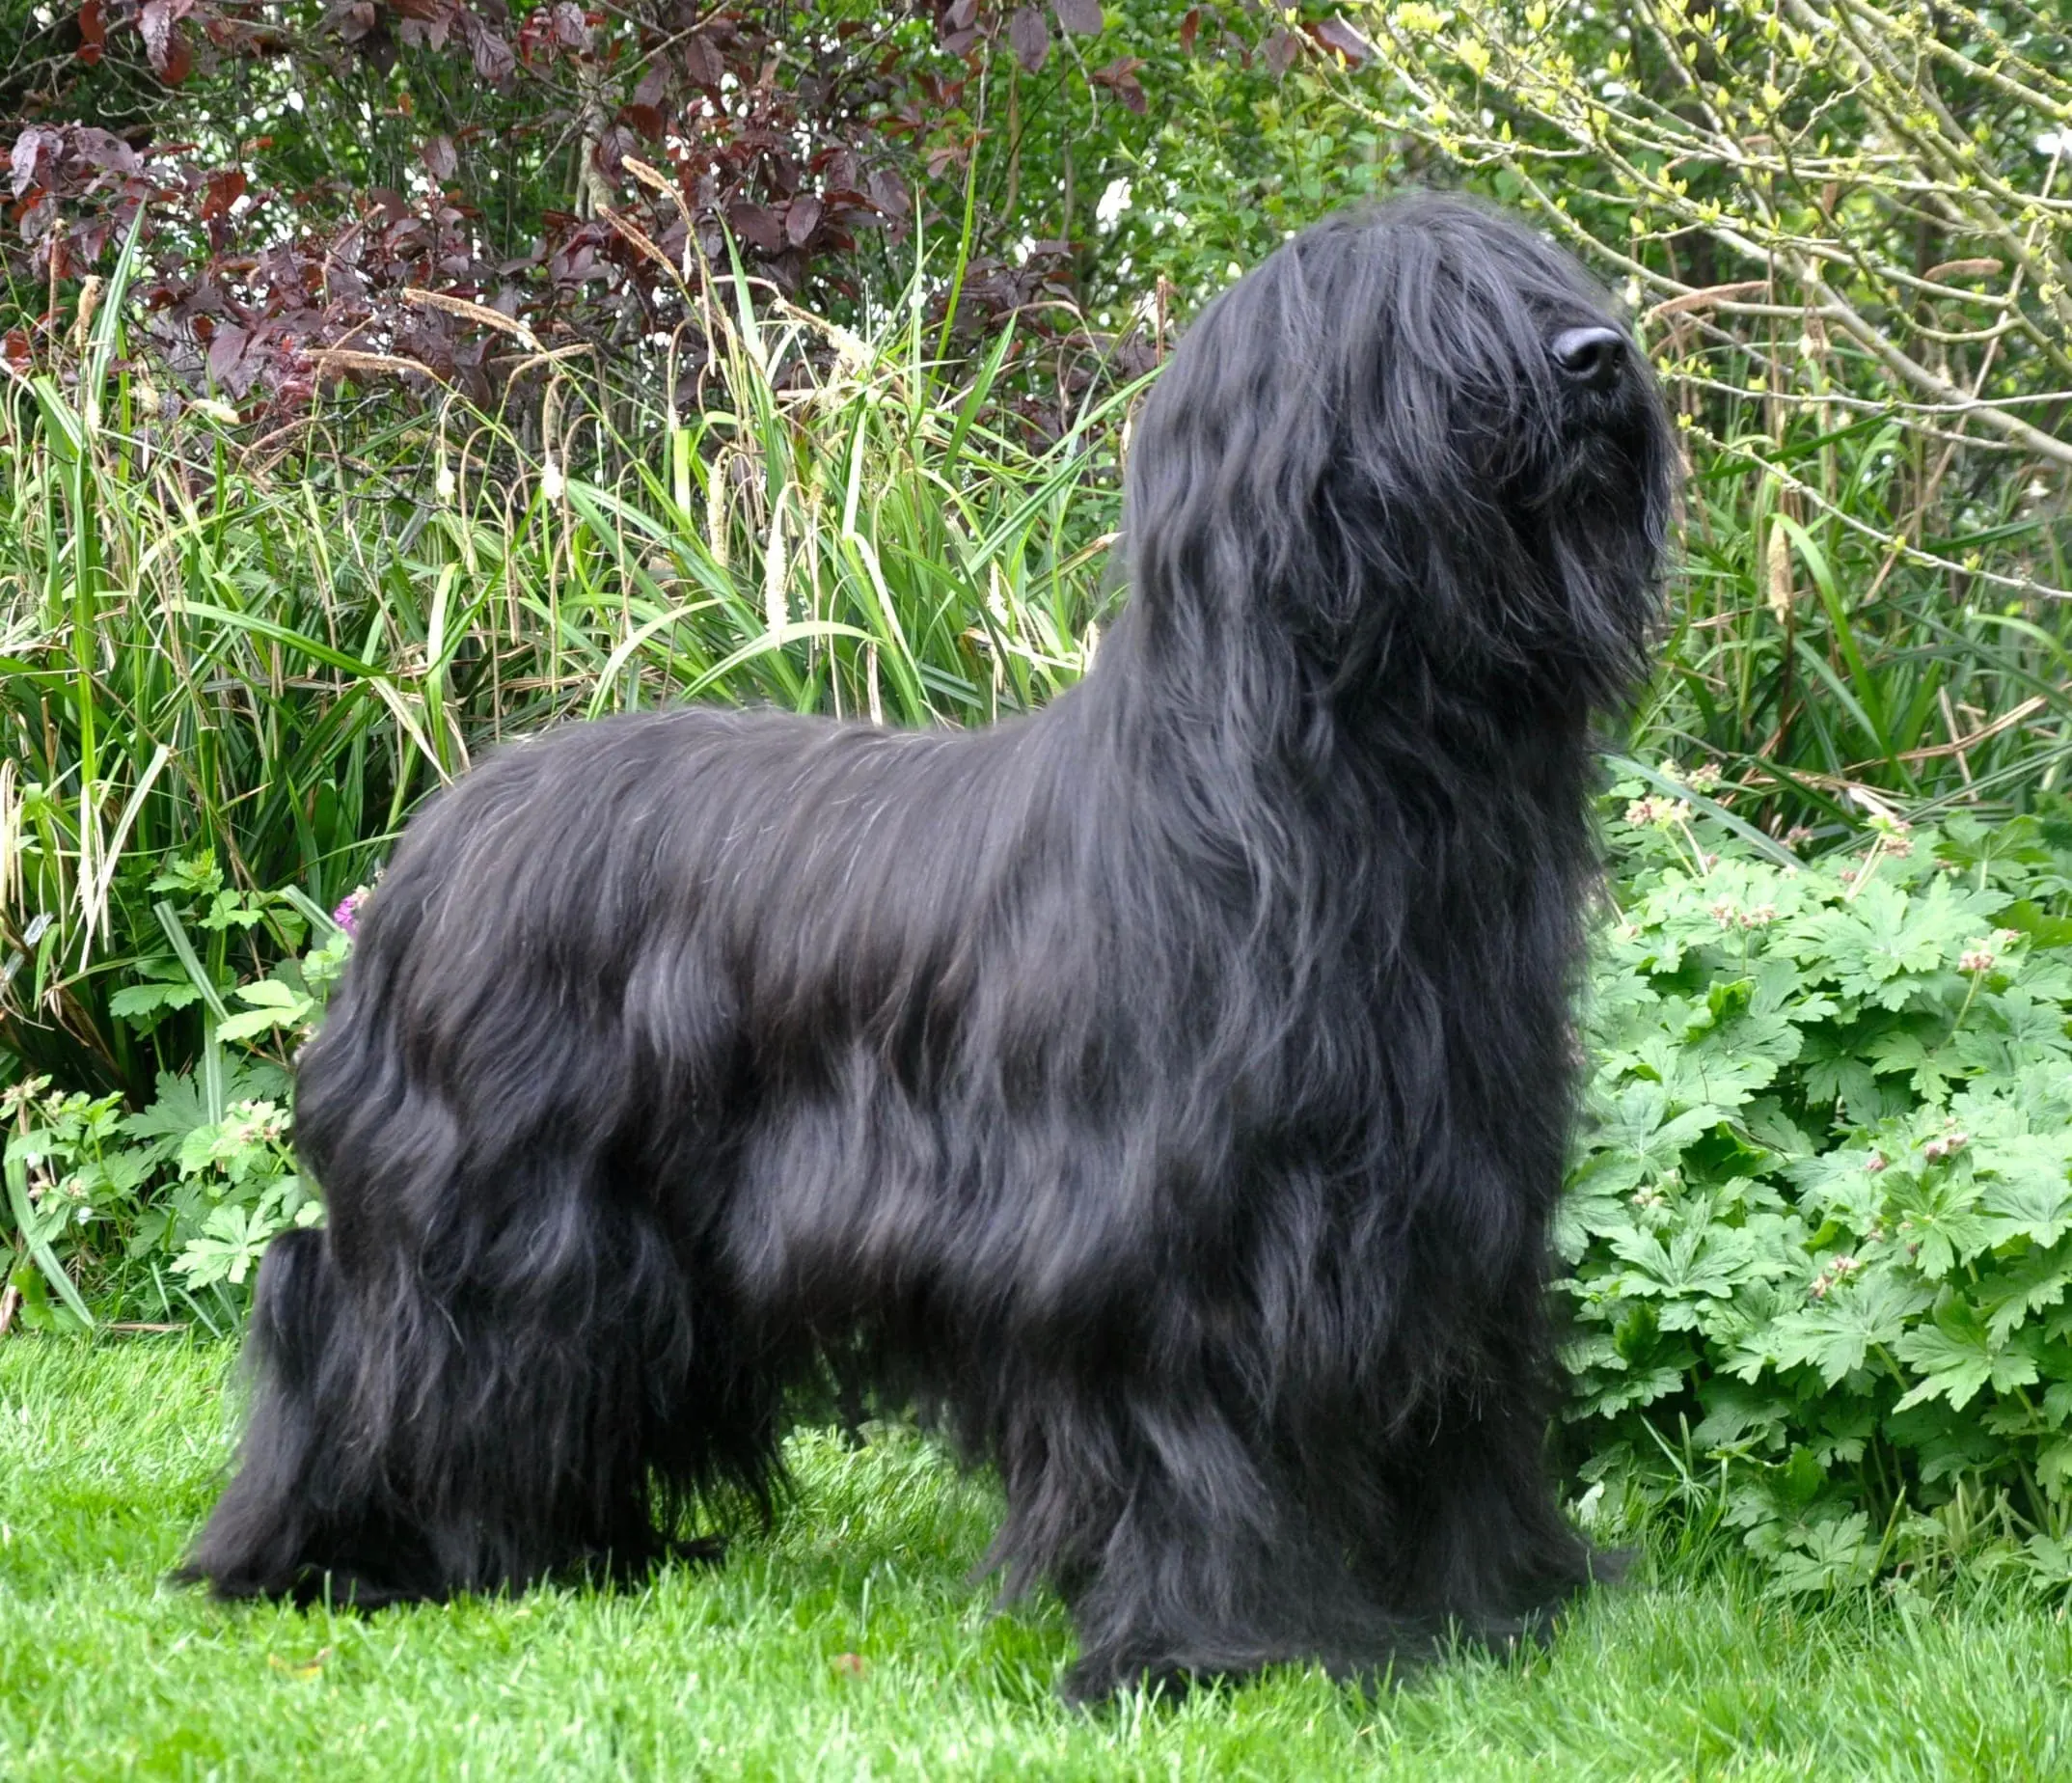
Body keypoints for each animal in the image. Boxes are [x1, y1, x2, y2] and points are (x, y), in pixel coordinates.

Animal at [182, 194, 1682, 1700]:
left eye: (1542, 278)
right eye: (1433, 315)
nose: (1601, 358)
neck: (1351, 802)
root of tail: (439, 836)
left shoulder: (1453, 1219)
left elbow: (1462, 1423)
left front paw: (1499, 1607)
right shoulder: (1175, 1249)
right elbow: (1200, 1439)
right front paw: (1205, 1650)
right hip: (498, 1213)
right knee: (385, 1351)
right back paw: (348, 1559)